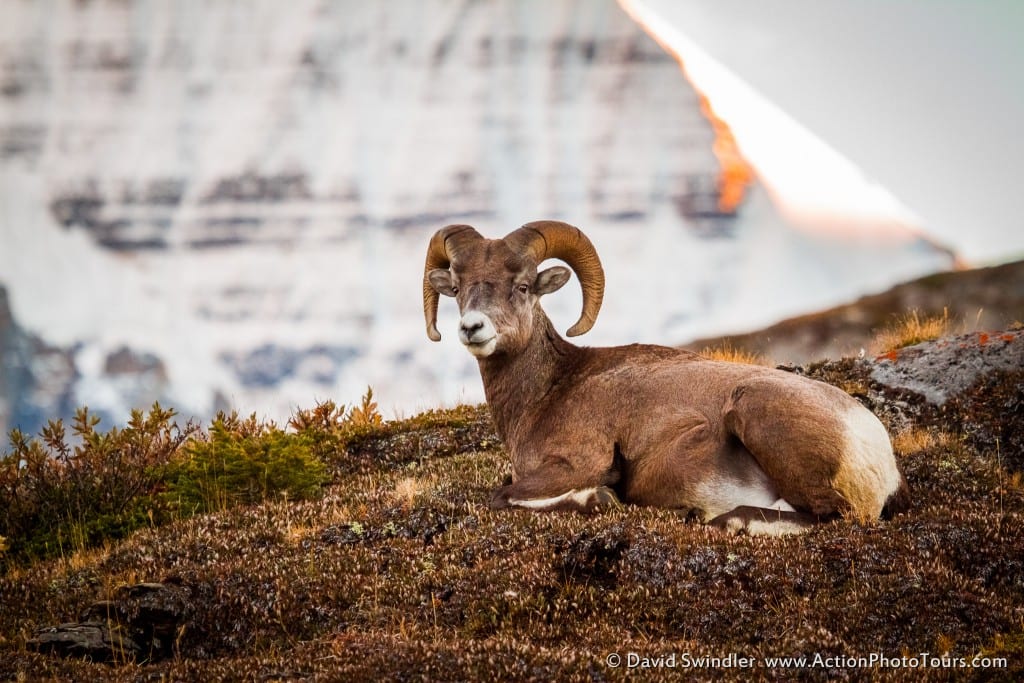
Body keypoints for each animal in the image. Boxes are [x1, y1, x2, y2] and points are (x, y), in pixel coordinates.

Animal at [423, 220, 913, 532]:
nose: (472, 328)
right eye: (459, 288)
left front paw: (597, 499)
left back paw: (723, 520)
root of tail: (872, 444)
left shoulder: (578, 463)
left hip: (754, 411)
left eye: (522, 287)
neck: (548, 392)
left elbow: (500, 496)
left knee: (835, 516)